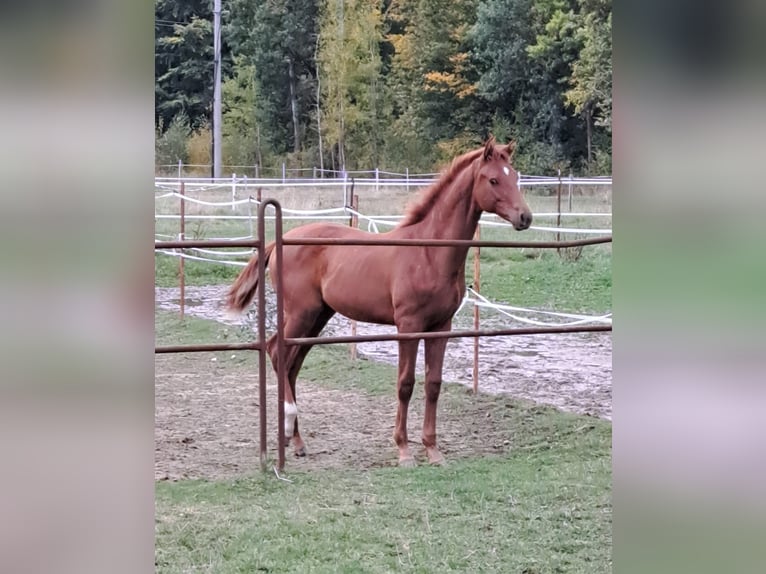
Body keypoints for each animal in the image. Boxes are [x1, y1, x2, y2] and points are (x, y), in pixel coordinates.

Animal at [225, 138, 532, 468]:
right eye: (493, 179)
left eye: (515, 176)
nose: (525, 217)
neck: (428, 252)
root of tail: (278, 242)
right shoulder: (408, 326)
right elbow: (405, 384)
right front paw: (404, 450)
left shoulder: (441, 326)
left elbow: (434, 384)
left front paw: (433, 450)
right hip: (300, 314)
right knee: (276, 352)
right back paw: (287, 428)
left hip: (318, 317)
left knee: (292, 363)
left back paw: (295, 441)